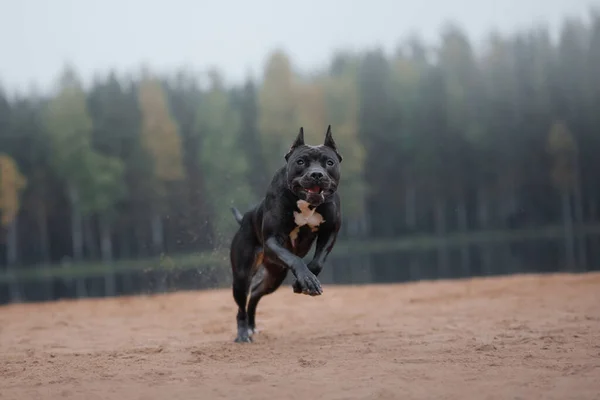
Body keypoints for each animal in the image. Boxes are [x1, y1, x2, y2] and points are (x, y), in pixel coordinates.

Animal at [229, 126, 342, 344]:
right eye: (301, 162)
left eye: (329, 162)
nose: (316, 174)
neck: (306, 203)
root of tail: (245, 218)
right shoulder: (273, 240)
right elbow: (295, 258)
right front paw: (306, 280)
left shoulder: (330, 232)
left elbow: (317, 263)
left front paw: (303, 282)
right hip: (242, 275)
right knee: (241, 305)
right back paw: (243, 333)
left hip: (274, 276)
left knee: (255, 294)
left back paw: (252, 327)